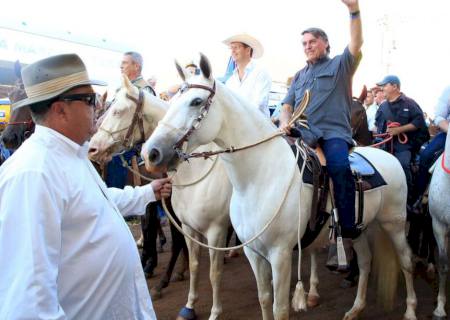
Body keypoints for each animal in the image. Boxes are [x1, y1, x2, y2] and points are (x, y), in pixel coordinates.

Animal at [90, 75, 234, 320]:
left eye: (117, 111)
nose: (92, 148)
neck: (196, 171)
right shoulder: (176, 215)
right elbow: (186, 254)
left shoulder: (214, 227)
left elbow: (210, 269)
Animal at [142, 53, 418, 320]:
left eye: (196, 101)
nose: (151, 153)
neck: (259, 179)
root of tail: (387, 155)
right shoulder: (254, 252)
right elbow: (264, 299)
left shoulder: (279, 254)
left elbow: (279, 308)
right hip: (359, 228)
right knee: (365, 262)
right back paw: (355, 309)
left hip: (393, 223)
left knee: (405, 261)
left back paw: (410, 311)